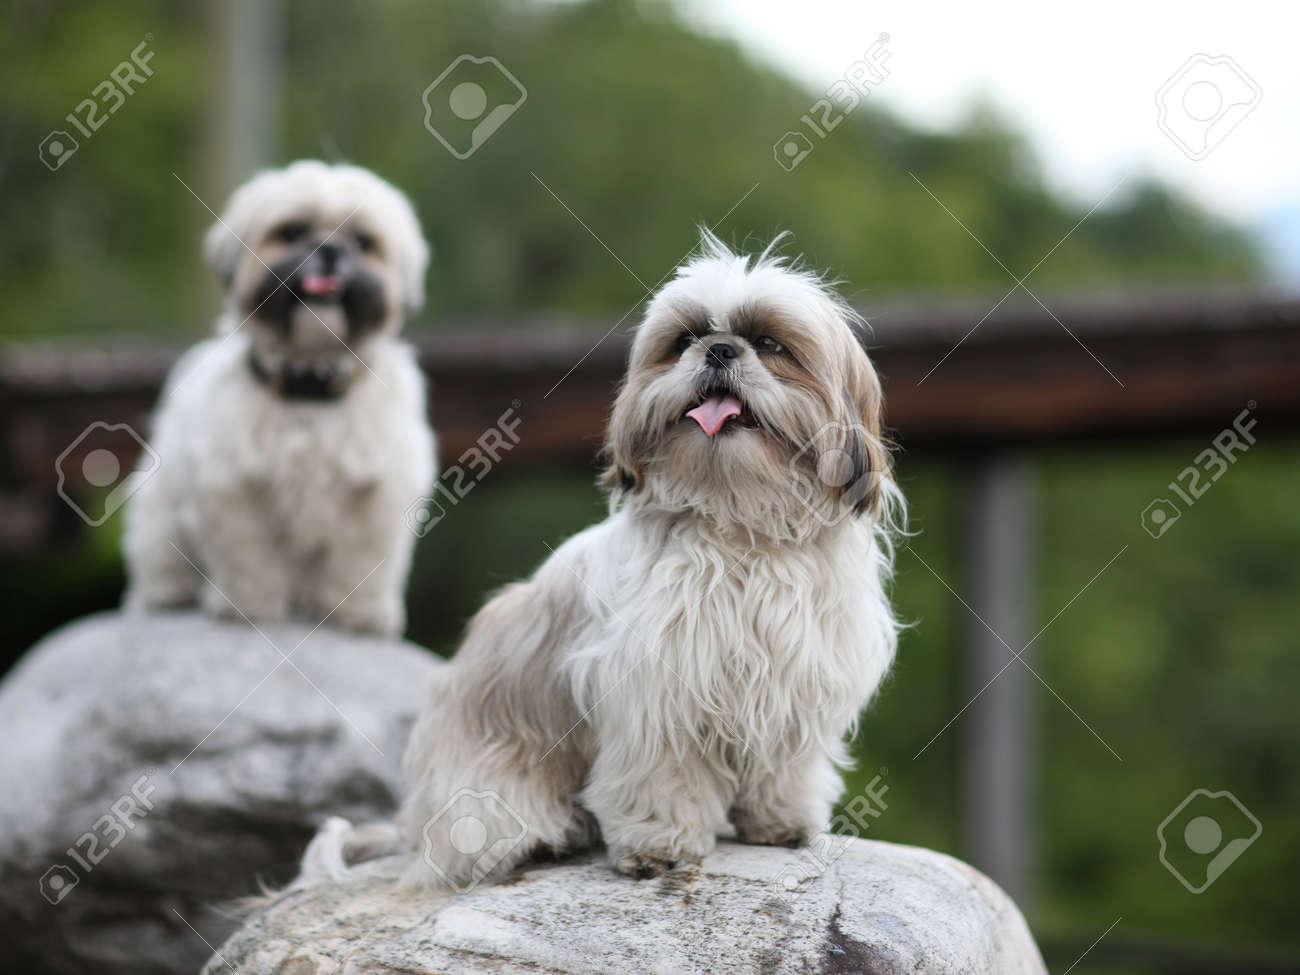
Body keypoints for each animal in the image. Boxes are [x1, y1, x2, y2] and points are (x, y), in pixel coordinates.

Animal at [127, 162, 441, 634]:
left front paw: (359, 613)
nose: (330, 249)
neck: (308, 385)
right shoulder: (234, 490)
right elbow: (249, 557)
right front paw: (249, 605)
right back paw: (170, 590)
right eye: (291, 232)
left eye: (364, 242)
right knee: (162, 555)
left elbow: (361, 561)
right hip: (161, 514)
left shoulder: (377, 497)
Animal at [390, 232, 899, 889]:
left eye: (768, 343)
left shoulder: (797, 680)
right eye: (685, 340)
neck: (741, 528)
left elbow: (785, 767)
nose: (718, 349)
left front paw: (780, 821)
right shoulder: (656, 692)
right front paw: (659, 845)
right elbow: (663, 777)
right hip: (487, 788)